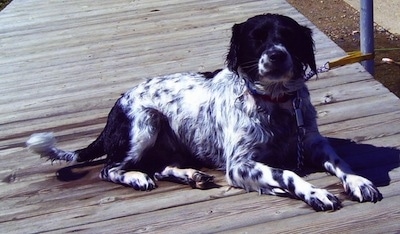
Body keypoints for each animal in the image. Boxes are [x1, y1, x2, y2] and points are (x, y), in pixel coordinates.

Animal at [26, 14, 382, 212]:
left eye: (289, 38)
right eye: (256, 39)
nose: (277, 56)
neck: (276, 102)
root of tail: (115, 108)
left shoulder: (312, 142)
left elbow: (340, 161)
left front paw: (359, 181)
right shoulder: (239, 165)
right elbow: (288, 174)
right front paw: (315, 193)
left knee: (160, 166)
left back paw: (190, 175)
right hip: (147, 121)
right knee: (110, 169)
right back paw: (138, 177)